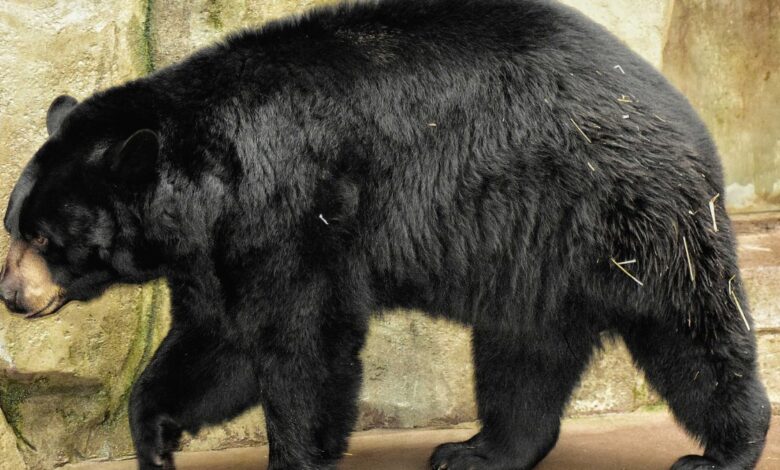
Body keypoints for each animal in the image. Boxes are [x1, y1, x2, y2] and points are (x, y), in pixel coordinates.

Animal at [0, 0, 771, 469]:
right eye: (15, 226)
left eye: (46, 239)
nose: (11, 294)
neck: (215, 179)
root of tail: (678, 108)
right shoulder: (219, 249)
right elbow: (219, 342)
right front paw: (154, 436)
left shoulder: (297, 210)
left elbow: (301, 343)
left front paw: (292, 454)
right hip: (534, 253)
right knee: (523, 352)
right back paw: (479, 449)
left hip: (627, 213)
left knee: (689, 331)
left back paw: (724, 447)